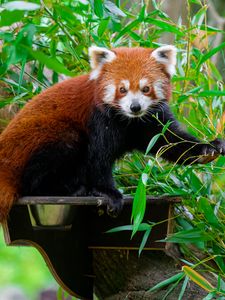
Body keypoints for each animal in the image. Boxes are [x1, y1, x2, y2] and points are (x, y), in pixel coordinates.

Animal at [0, 45, 225, 220]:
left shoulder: (152, 121)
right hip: (43, 138)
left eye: (145, 89)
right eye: (122, 89)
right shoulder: (100, 119)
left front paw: (209, 148)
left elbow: (170, 142)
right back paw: (71, 189)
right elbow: (98, 158)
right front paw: (108, 192)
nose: (135, 107)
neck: (129, 120)